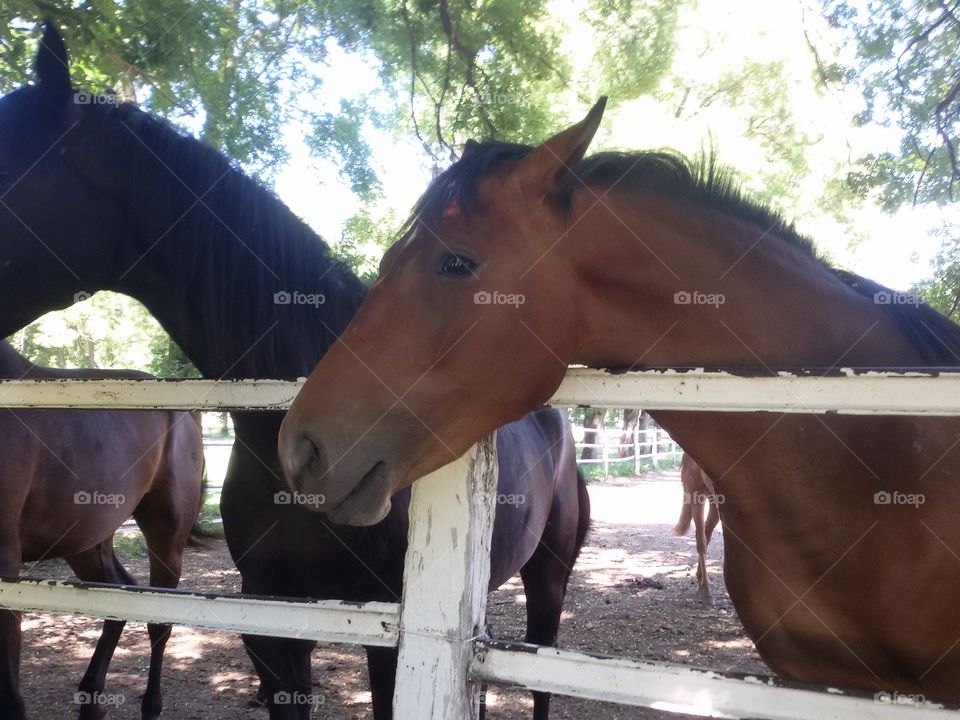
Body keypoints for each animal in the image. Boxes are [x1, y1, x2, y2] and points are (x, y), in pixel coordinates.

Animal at [0, 340, 202, 716]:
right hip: (85, 540)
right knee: (117, 596)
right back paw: (91, 698)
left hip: (166, 537)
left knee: (159, 623)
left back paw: (150, 705)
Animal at [676, 456, 720, 600]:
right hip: (697, 497)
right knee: (701, 540)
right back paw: (705, 588)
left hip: (715, 503)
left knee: (706, 535)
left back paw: (700, 577)